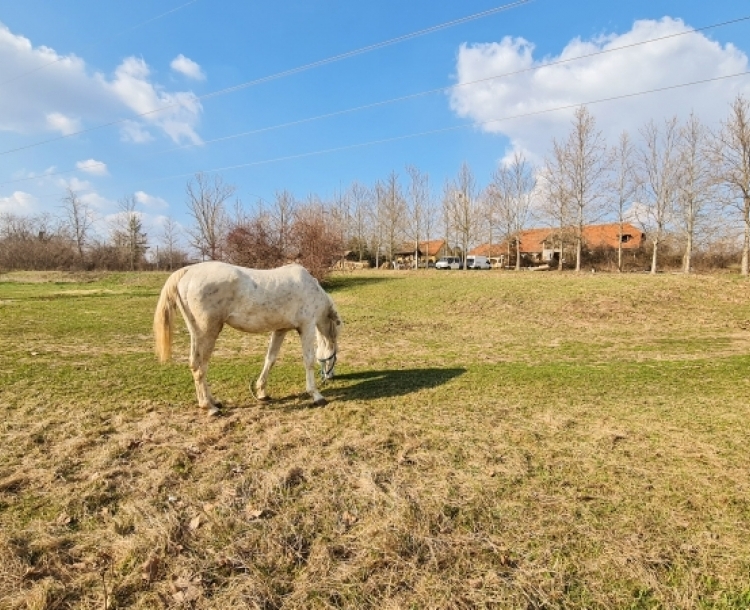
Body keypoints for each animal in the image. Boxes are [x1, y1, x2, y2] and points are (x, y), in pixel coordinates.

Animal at [153, 261, 342, 415]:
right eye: (334, 354)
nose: (330, 377)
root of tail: (188, 271)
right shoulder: (307, 327)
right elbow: (308, 360)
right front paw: (316, 395)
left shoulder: (280, 330)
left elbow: (270, 359)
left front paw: (262, 392)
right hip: (208, 333)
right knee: (200, 367)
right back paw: (210, 407)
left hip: (196, 334)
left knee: (195, 364)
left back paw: (212, 402)